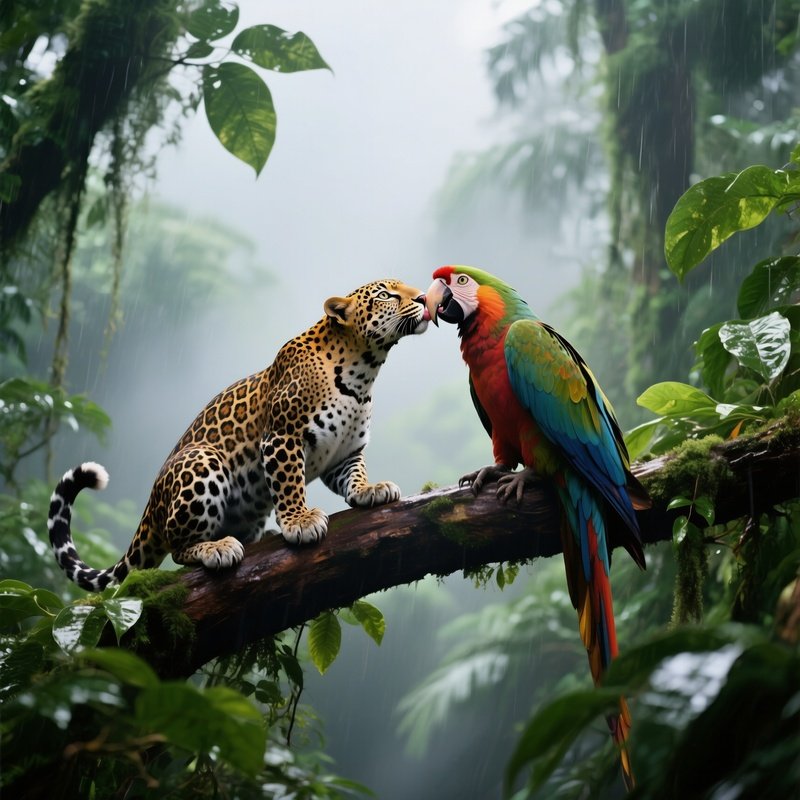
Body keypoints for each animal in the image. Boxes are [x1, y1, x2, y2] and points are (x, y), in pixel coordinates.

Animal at [47, 279, 430, 591]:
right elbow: (289, 483)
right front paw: (299, 521)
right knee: (176, 547)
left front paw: (370, 489)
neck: (363, 371)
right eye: (385, 295)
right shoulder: (282, 437)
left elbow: (355, 473)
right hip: (202, 460)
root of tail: (151, 508)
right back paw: (217, 547)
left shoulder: (345, 452)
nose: (425, 298)